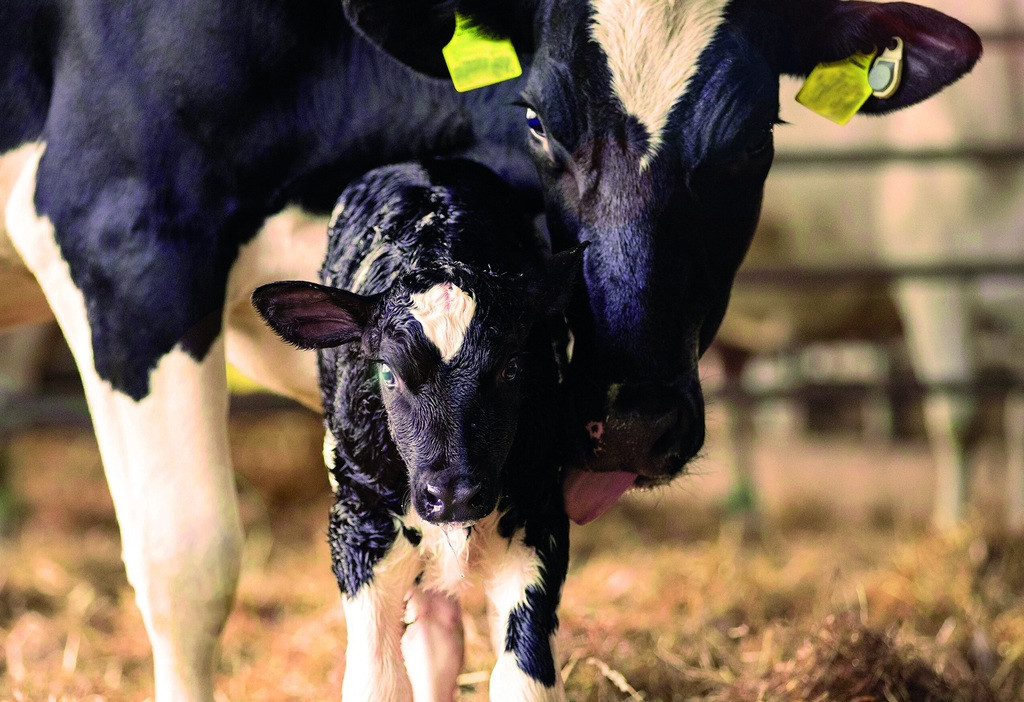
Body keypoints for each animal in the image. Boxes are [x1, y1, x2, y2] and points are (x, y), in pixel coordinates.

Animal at [251, 160, 581, 702]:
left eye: (512, 368)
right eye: (387, 373)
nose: (453, 494)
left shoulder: (541, 517)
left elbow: (523, 678)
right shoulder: (359, 526)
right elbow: (378, 681)